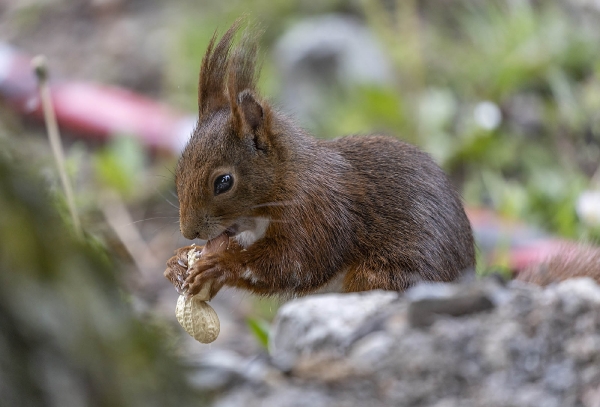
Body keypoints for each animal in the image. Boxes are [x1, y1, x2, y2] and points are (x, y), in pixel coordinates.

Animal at [163, 23, 474, 300]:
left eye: (223, 182)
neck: (288, 178)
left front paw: (220, 264)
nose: (189, 232)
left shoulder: (317, 215)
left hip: (382, 276)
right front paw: (178, 262)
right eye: (178, 172)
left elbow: (291, 265)